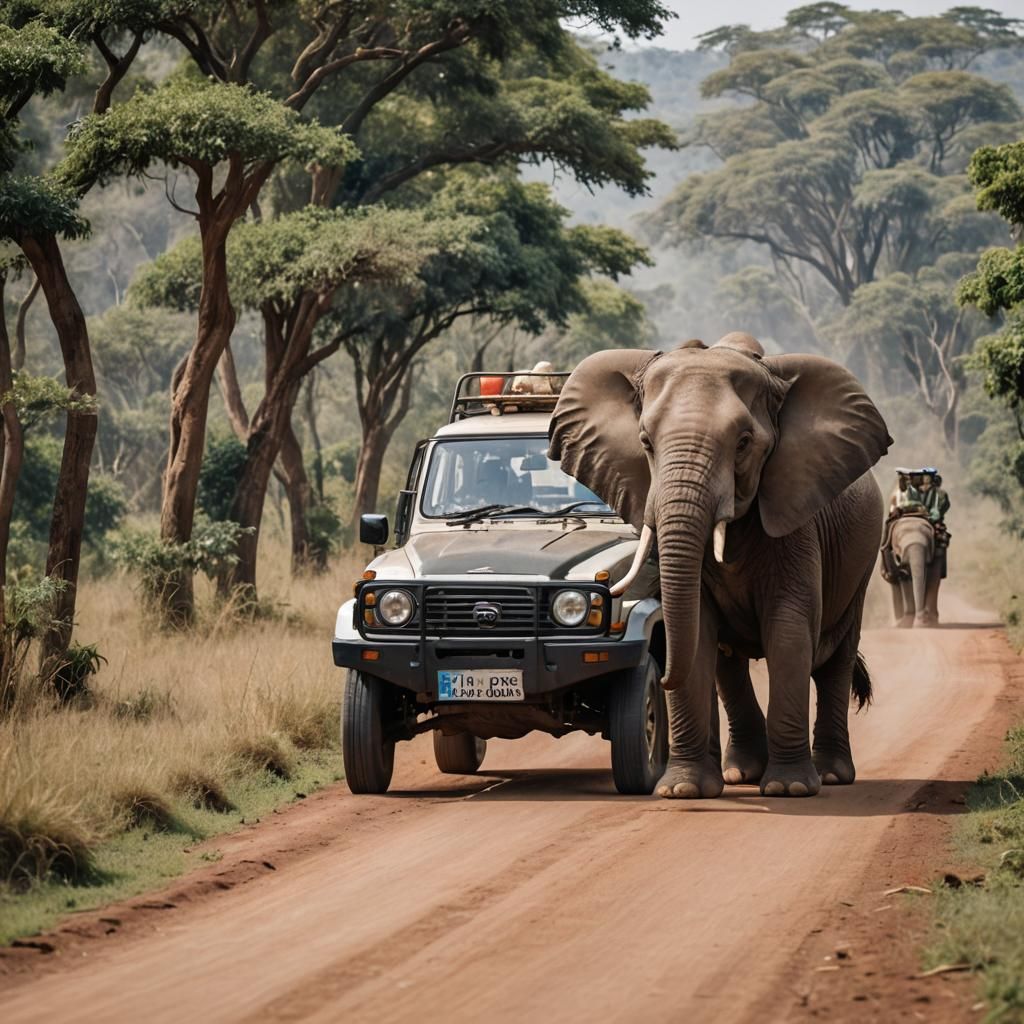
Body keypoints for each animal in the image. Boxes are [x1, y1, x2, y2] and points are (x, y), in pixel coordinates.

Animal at [548, 333, 892, 799]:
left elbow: (788, 630)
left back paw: (832, 775)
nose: (658, 679)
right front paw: (682, 791)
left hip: (863, 556)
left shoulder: (794, 515)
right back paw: (741, 773)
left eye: (744, 443)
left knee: (836, 659)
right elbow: (698, 633)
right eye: (646, 443)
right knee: (728, 666)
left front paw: (788, 789)